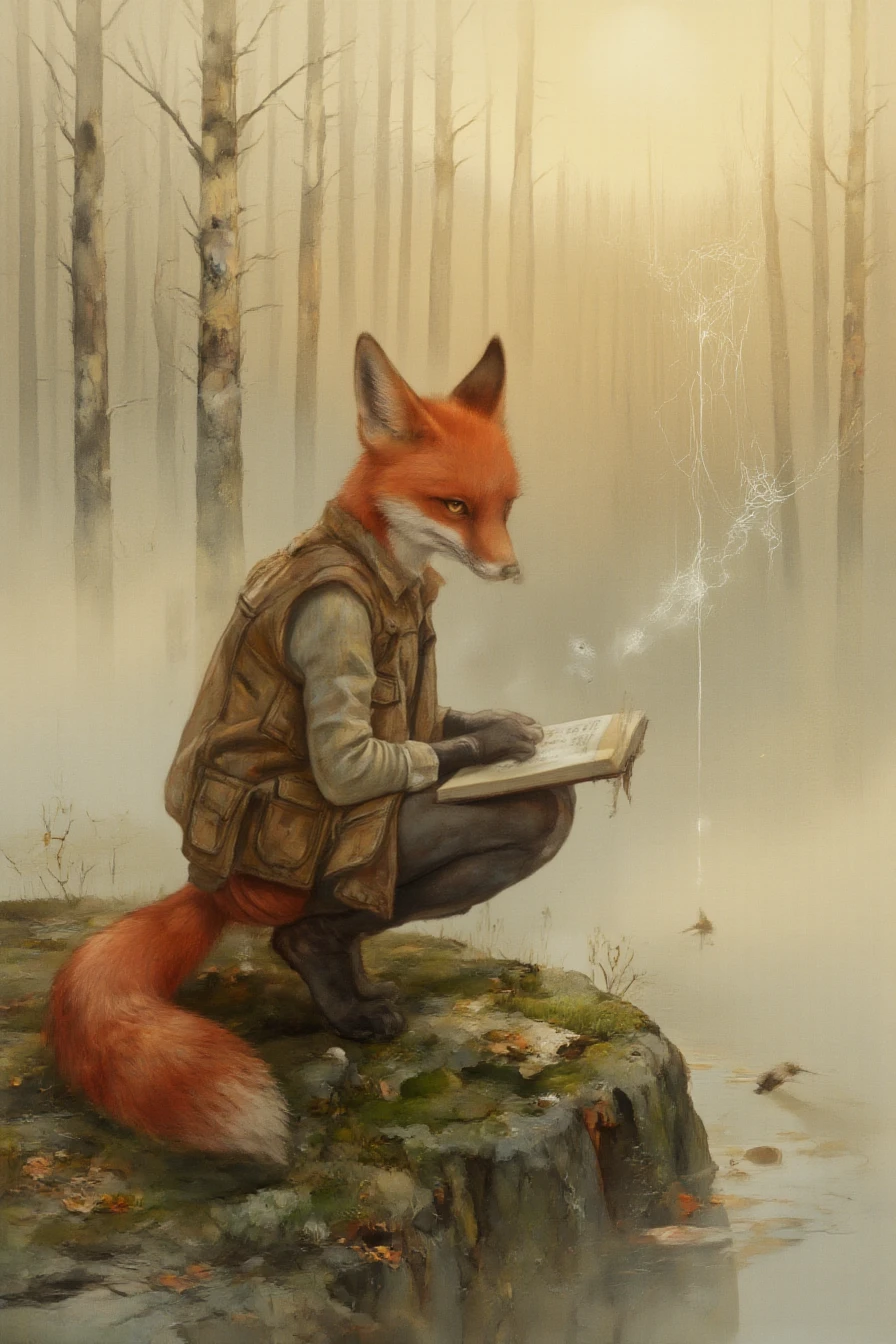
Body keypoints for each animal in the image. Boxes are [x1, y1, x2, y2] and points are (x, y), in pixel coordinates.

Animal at [46, 334, 575, 1163]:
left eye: (505, 506)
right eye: (454, 506)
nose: (511, 568)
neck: (384, 565)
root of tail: (211, 887)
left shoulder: (422, 699)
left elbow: (434, 722)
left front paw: (508, 718)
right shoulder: (336, 632)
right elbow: (370, 755)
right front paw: (505, 739)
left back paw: (361, 993)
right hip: (345, 862)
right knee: (519, 819)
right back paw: (336, 991)